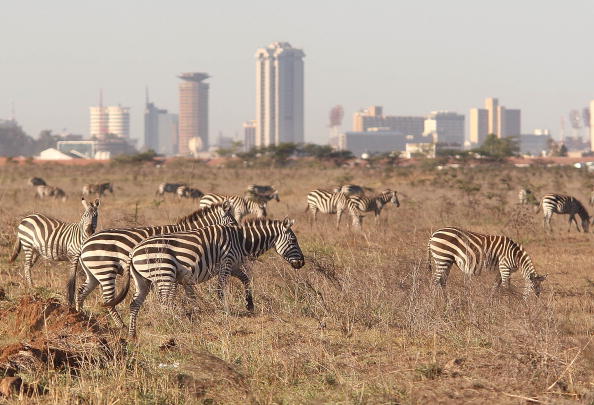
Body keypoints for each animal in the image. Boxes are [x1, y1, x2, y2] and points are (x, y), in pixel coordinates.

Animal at [75, 200, 237, 326]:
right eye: (232, 222)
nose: (237, 229)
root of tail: (85, 244)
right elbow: (172, 294)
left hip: (94, 273)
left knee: (81, 292)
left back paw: (80, 317)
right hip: (105, 270)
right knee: (108, 300)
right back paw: (120, 325)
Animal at [110, 218, 306, 338]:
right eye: (293, 241)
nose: (302, 263)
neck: (241, 241)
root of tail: (133, 252)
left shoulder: (233, 265)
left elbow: (246, 279)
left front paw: (249, 304)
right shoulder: (226, 262)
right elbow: (221, 290)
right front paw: (225, 312)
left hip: (143, 279)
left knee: (135, 304)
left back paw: (132, 333)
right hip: (165, 272)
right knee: (164, 303)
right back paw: (174, 323)